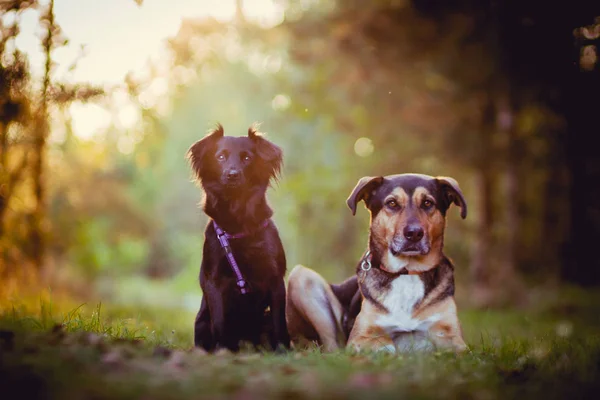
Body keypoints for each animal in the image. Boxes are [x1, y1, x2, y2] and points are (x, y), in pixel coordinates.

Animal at [188, 123, 290, 352]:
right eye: (220, 157)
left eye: (246, 158)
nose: (232, 174)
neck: (238, 222)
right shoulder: (214, 280)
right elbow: (220, 322)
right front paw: (223, 350)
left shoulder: (275, 278)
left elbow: (280, 321)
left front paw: (283, 350)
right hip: (201, 320)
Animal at [286, 173, 468, 352]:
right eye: (392, 203)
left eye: (427, 203)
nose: (414, 233)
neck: (406, 272)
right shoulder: (360, 336)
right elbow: (384, 343)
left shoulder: (452, 336)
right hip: (301, 276)